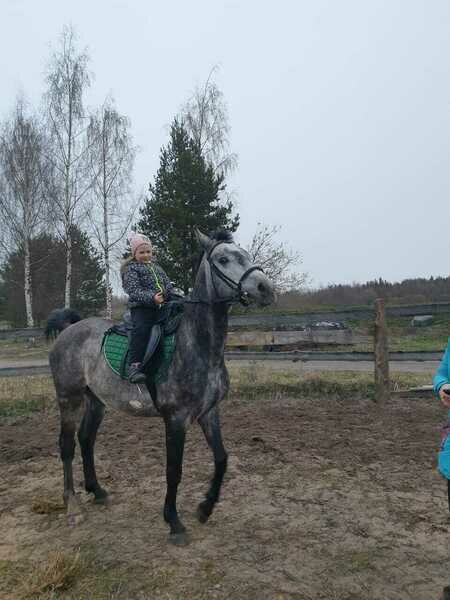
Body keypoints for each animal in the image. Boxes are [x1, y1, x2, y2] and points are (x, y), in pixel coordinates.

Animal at [47, 229, 275, 545]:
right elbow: (173, 470)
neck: (196, 347)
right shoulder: (175, 419)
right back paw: (72, 506)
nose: (266, 288)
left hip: (96, 400)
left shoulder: (209, 413)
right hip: (69, 398)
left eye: (246, 254)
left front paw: (205, 508)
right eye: (223, 259)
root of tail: (71, 328)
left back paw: (97, 491)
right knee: (67, 445)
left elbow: (221, 459)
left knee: (86, 439)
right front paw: (174, 522)